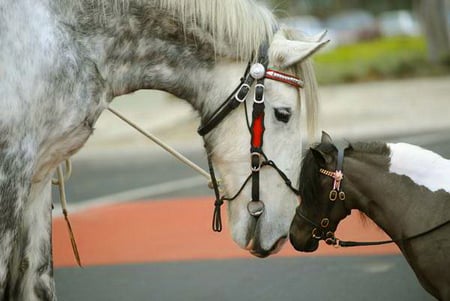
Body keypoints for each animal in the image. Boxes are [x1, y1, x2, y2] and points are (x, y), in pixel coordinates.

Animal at [0, 0, 326, 298]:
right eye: (283, 114)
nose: (283, 232)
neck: (69, 35)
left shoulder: (40, 178)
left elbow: (38, 281)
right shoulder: (11, 174)